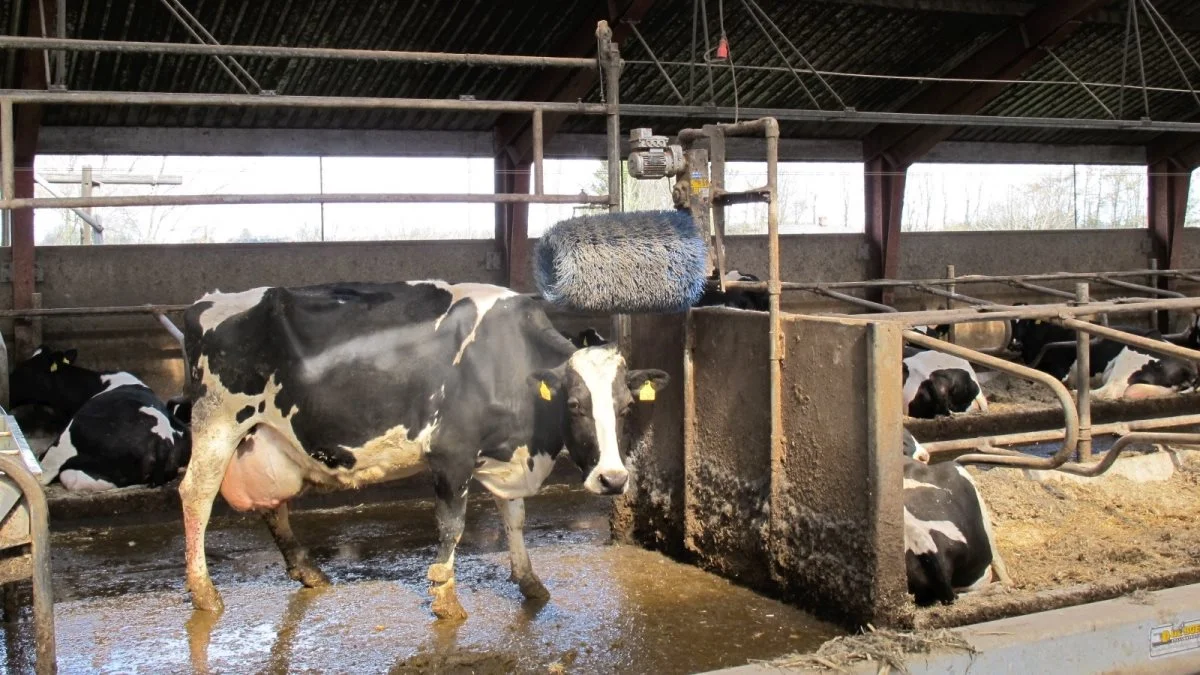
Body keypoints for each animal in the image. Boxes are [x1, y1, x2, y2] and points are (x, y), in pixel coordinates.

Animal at [177, 281, 672, 619]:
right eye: (574, 405)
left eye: (626, 407)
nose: (614, 479)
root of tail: (206, 302)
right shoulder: (452, 453)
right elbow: (452, 526)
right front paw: (445, 598)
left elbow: (514, 519)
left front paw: (530, 583)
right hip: (218, 424)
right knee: (196, 495)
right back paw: (204, 593)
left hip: (265, 439)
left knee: (272, 504)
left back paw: (308, 572)